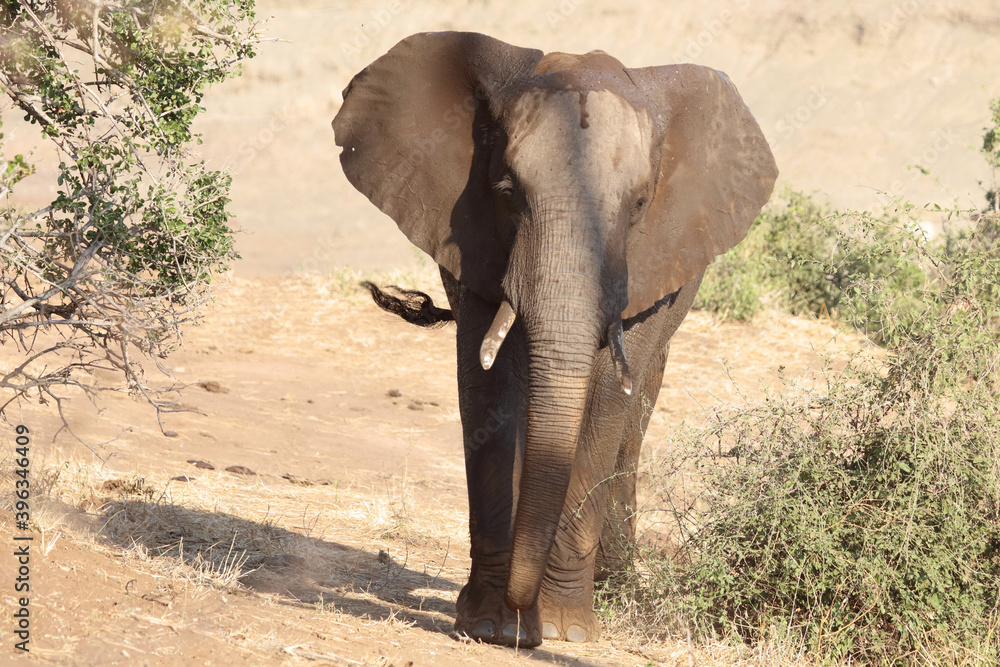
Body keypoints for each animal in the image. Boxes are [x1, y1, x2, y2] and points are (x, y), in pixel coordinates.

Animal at [331, 31, 777, 648]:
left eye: (640, 205)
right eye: (506, 191)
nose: (527, 623)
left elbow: (608, 400)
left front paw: (566, 632)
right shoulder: (471, 237)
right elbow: (489, 388)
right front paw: (489, 624)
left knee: (635, 414)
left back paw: (617, 589)